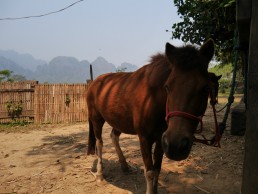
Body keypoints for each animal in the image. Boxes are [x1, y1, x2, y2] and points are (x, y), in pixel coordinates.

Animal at [87, 39, 215, 194]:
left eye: (206, 88)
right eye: (167, 87)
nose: (177, 145)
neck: (152, 98)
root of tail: (94, 82)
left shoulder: (162, 139)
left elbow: (157, 169)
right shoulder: (144, 138)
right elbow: (149, 172)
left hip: (119, 120)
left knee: (113, 136)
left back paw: (124, 165)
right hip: (96, 118)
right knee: (99, 143)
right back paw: (100, 175)